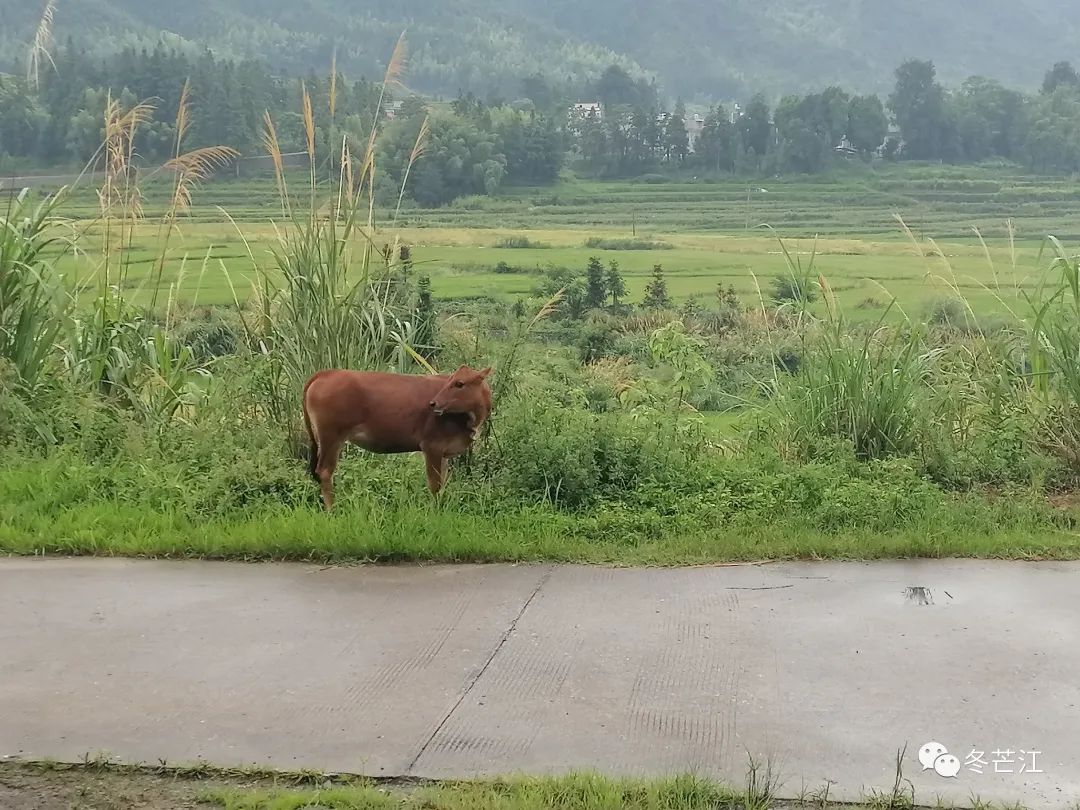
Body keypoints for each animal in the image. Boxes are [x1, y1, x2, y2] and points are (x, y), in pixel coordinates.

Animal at [302, 367, 492, 509]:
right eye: (450, 381)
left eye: (459, 383)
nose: (433, 403)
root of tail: (328, 372)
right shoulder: (432, 446)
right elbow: (435, 485)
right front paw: (435, 511)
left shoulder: (443, 453)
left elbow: (442, 483)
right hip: (331, 437)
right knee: (325, 471)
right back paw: (332, 509)